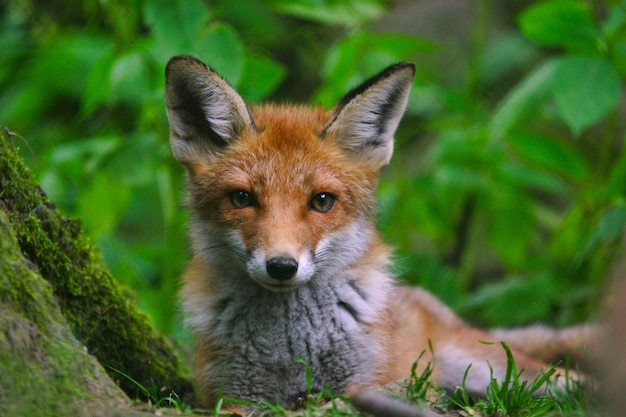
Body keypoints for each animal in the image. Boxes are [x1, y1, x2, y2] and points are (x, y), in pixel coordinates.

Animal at [163, 56, 592, 412]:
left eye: (322, 201)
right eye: (242, 198)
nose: (282, 266)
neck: (292, 350)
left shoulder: (376, 381)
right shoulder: (229, 396)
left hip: (498, 369)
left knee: (569, 379)